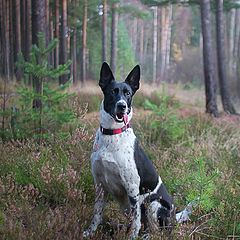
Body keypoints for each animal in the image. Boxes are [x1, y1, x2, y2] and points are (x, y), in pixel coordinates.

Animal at [84, 62, 191, 239]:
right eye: (113, 92)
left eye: (128, 93)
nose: (122, 106)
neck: (113, 133)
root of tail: (174, 217)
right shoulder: (99, 184)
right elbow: (96, 214)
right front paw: (90, 232)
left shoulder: (132, 187)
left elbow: (136, 222)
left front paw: (132, 237)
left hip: (153, 204)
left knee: (154, 229)